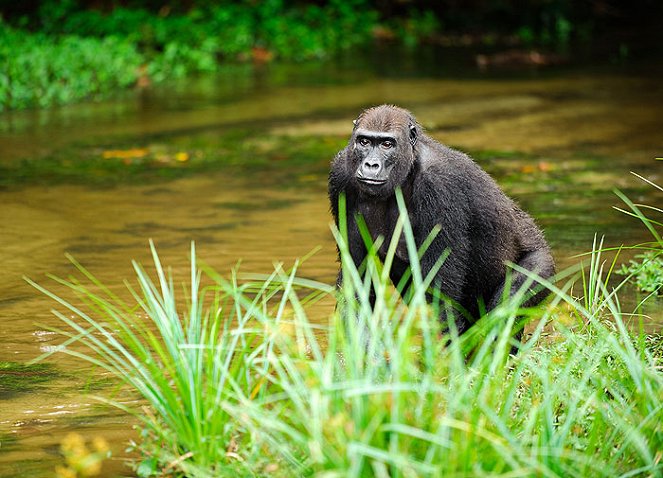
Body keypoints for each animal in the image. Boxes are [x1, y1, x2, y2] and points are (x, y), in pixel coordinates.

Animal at [328, 104, 556, 334]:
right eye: (364, 142)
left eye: (387, 144)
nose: (371, 165)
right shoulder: (341, 175)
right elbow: (356, 280)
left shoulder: (439, 184)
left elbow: (442, 297)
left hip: (543, 265)